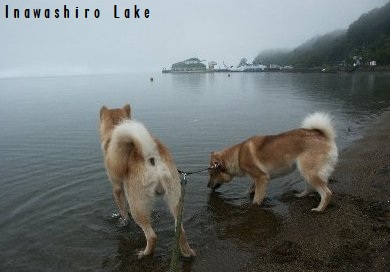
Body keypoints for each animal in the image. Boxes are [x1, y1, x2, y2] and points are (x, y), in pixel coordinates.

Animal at [100, 104, 195, 258]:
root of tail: (150, 156)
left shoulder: (117, 188)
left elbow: (123, 210)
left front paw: (123, 221)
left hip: (137, 205)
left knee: (151, 236)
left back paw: (144, 253)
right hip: (175, 199)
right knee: (180, 231)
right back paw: (187, 253)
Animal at [207, 111, 338, 211]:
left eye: (212, 174)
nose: (208, 186)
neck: (238, 155)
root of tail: (322, 136)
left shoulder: (262, 178)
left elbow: (257, 198)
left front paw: (254, 206)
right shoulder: (259, 179)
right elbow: (251, 189)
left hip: (309, 172)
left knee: (326, 193)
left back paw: (319, 209)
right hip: (306, 171)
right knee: (310, 188)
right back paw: (301, 195)